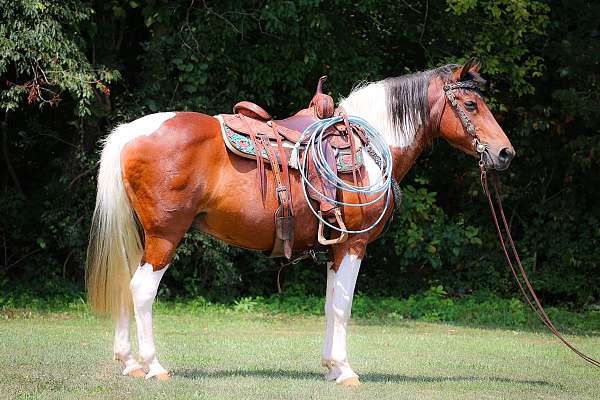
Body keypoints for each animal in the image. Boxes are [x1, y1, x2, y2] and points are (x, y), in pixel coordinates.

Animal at [85, 61, 516, 386]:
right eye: (471, 105)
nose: (505, 153)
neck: (369, 149)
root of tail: (130, 132)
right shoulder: (353, 245)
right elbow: (343, 307)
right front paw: (345, 371)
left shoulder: (334, 249)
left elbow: (329, 305)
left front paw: (330, 367)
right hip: (166, 236)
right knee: (141, 290)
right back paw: (154, 366)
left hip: (141, 237)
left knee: (125, 286)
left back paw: (129, 362)